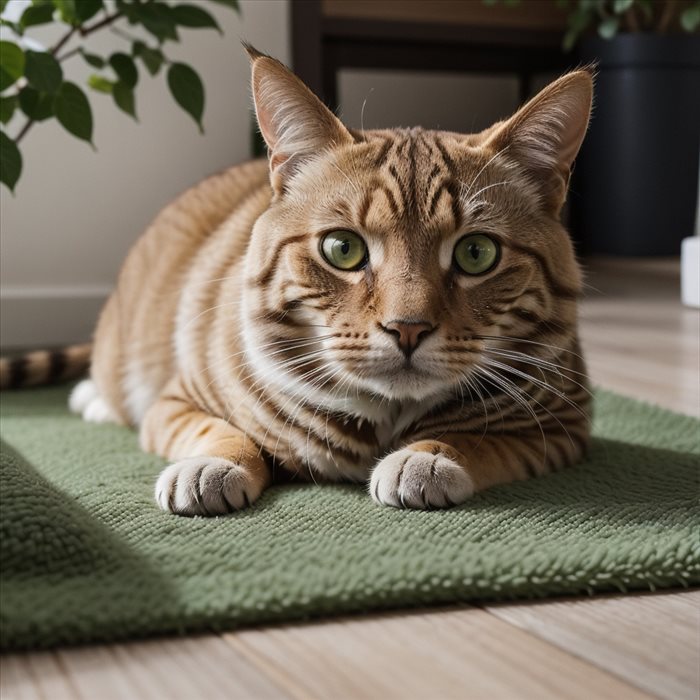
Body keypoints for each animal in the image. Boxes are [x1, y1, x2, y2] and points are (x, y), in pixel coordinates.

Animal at [0, 45, 592, 516]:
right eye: (343, 249)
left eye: (475, 253)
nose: (407, 328)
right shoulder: (177, 401)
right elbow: (219, 431)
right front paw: (211, 463)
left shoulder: (562, 424)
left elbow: (476, 439)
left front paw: (428, 456)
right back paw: (94, 399)